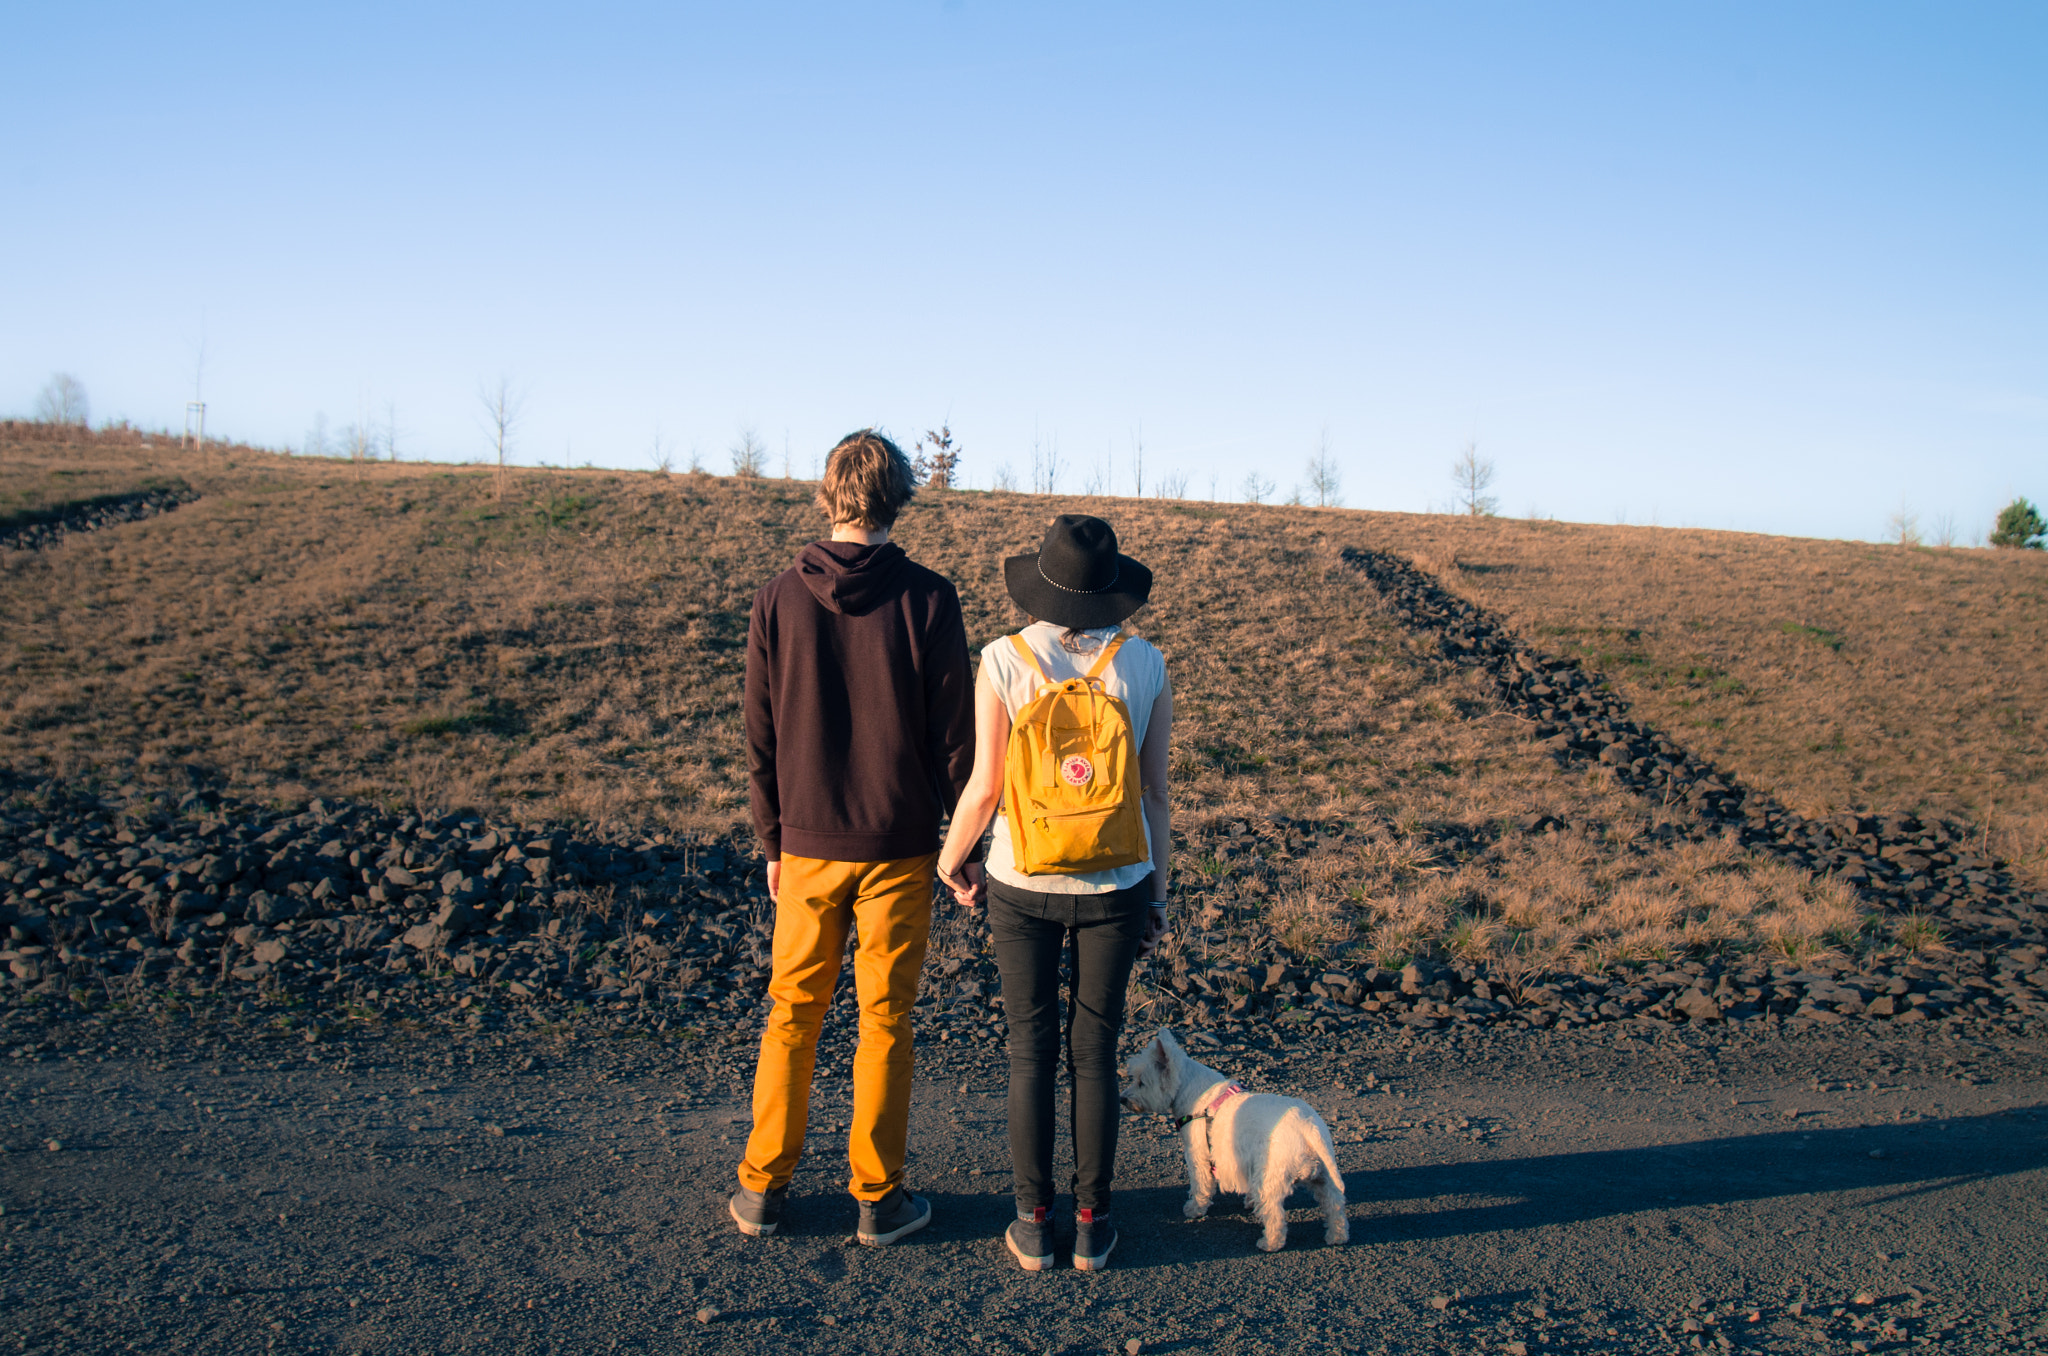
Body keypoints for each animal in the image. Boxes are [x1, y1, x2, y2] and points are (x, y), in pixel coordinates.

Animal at [1122, 1032, 1343, 1253]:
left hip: (1270, 1175)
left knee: (1275, 1214)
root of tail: (1307, 1125)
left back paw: (1269, 1243)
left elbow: (1200, 1184)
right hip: (1323, 1174)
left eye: (1141, 1082)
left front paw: (1194, 1209)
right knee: (1334, 1203)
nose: (1122, 1099)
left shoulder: (1198, 1155)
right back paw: (1336, 1237)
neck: (1188, 1090)